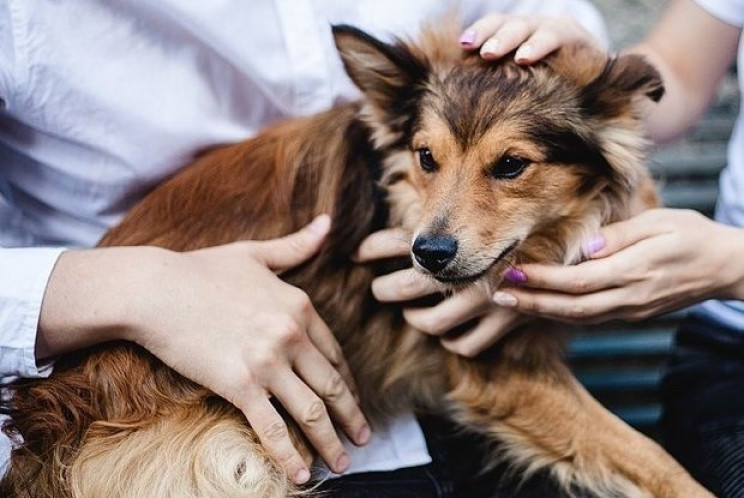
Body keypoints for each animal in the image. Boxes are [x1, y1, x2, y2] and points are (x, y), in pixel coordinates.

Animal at [1, 20, 716, 498]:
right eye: (427, 157)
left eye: (513, 165)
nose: (427, 255)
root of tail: (43, 440)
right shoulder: (499, 373)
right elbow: (652, 458)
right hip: (237, 460)